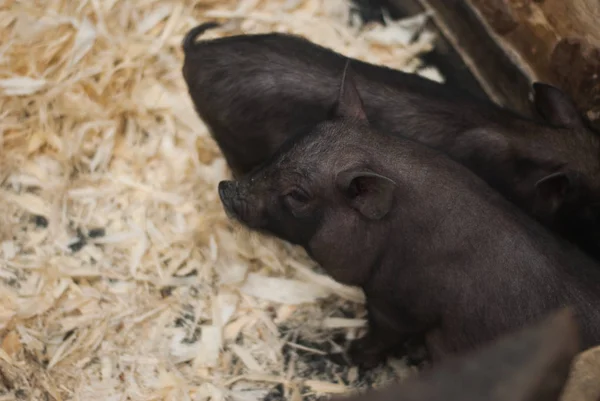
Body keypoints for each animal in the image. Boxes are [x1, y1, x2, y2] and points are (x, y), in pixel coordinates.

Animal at [218, 67, 600, 368]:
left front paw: (344, 353)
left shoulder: (398, 304)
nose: (225, 188)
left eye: (298, 195)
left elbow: (382, 337)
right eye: (288, 145)